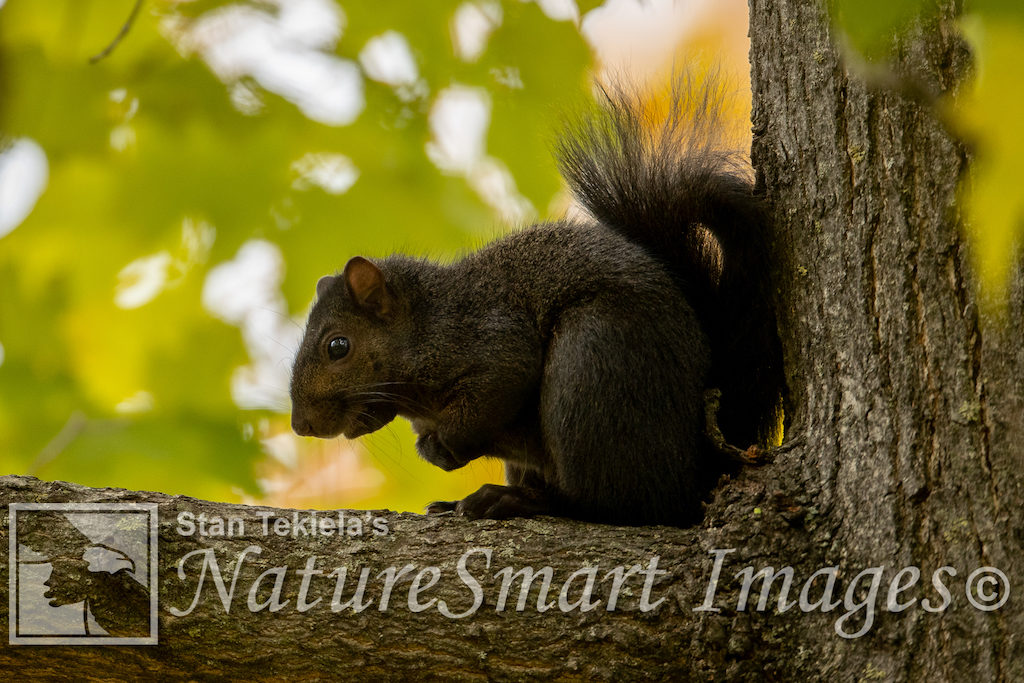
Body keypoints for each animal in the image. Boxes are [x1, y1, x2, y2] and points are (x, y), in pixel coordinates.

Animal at [288, 76, 782, 528]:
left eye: (338, 346)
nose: (301, 425)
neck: (427, 322)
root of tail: (700, 470)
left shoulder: (489, 338)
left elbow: (499, 384)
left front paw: (443, 446)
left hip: (592, 367)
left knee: (625, 504)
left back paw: (524, 501)